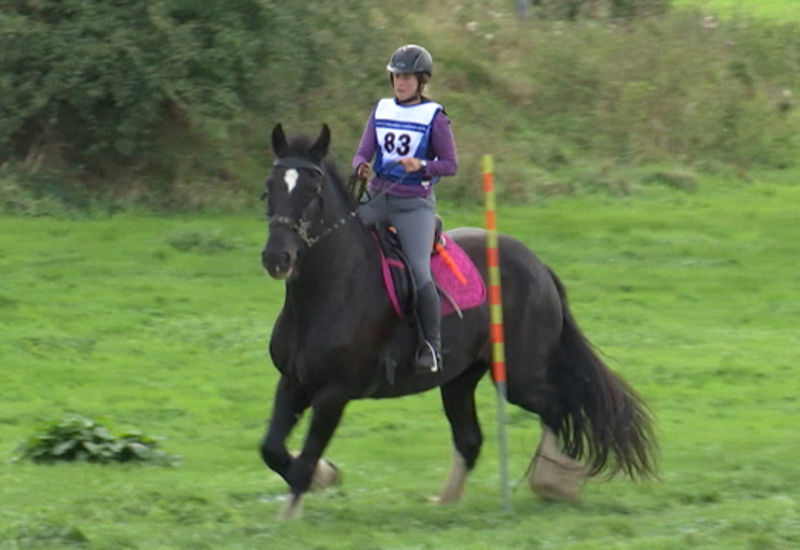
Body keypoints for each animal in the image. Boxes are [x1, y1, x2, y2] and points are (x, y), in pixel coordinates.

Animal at [258, 123, 656, 520]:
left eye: (313, 192)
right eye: (270, 187)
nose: (277, 258)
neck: (328, 291)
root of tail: (539, 267)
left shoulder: (333, 394)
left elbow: (305, 458)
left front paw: (295, 506)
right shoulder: (293, 382)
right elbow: (272, 449)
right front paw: (325, 477)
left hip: (518, 377)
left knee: (557, 407)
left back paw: (554, 483)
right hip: (459, 377)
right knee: (470, 438)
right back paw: (444, 504)